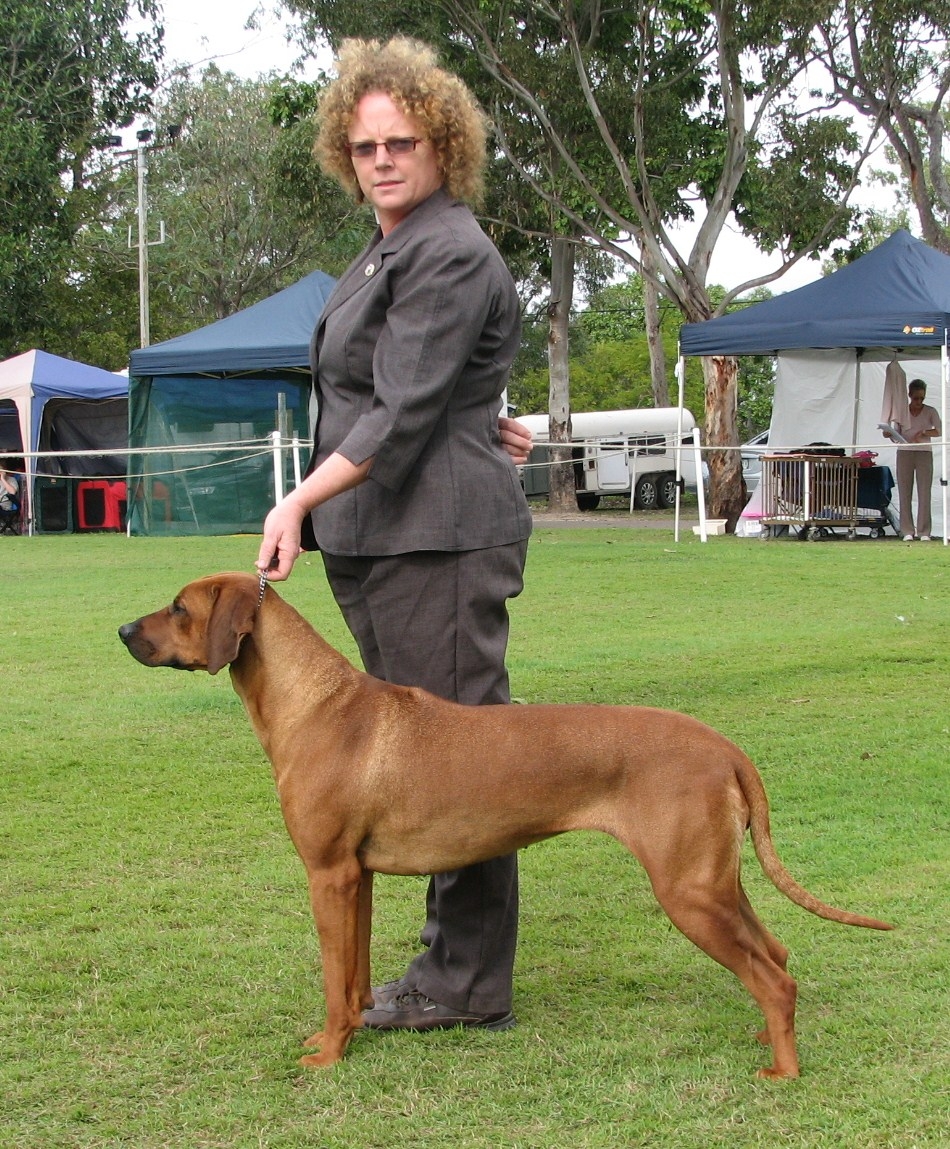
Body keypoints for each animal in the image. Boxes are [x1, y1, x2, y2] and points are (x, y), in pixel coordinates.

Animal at [118, 572, 891, 1078]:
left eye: (179, 608)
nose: (123, 630)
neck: (315, 703)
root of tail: (725, 746)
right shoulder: (355, 877)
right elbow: (355, 975)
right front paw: (359, 1027)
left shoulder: (327, 874)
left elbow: (335, 984)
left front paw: (330, 1054)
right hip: (717, 882)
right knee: (778, 956)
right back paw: (768, 1038)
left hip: (689, 892)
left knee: (774, 977)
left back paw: (784, 1071)